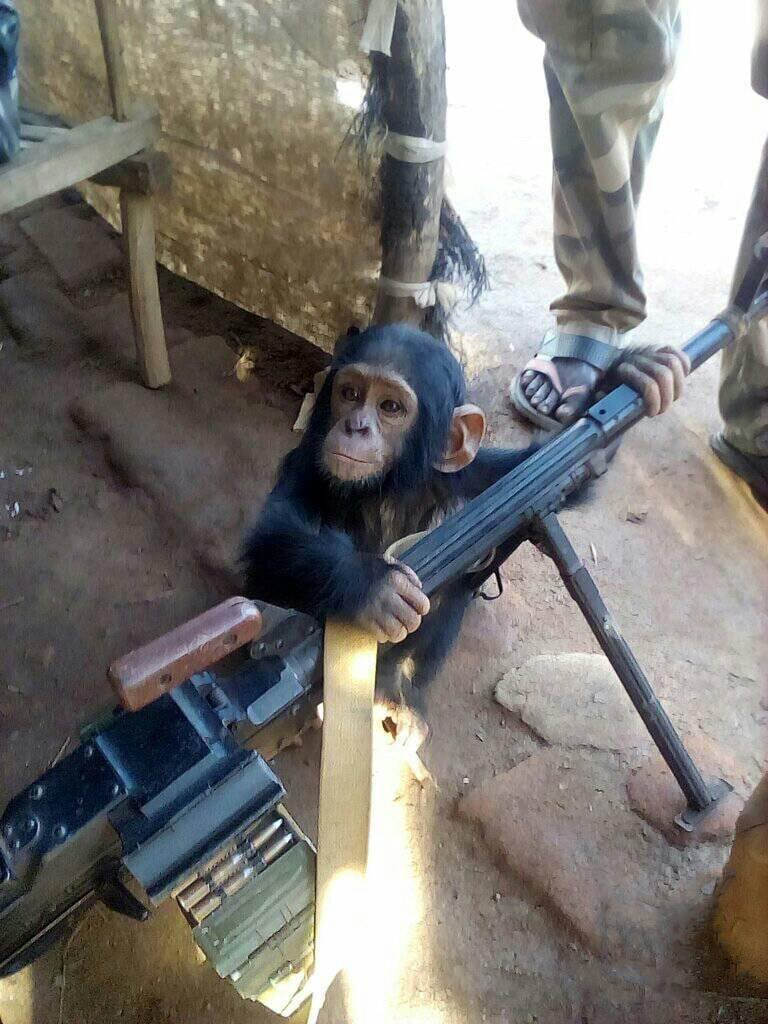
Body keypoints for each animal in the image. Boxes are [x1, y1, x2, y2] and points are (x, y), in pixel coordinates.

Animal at [242, 324, 689, 746]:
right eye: (349, 393)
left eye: (390, 407)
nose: (356, 426)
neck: (388, 487)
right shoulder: (308, 465)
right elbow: (271, 537)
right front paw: (375, 584)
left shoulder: (478, 480)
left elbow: (555, 463)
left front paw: (628, 375)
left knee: (454, 589)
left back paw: (397, 692)